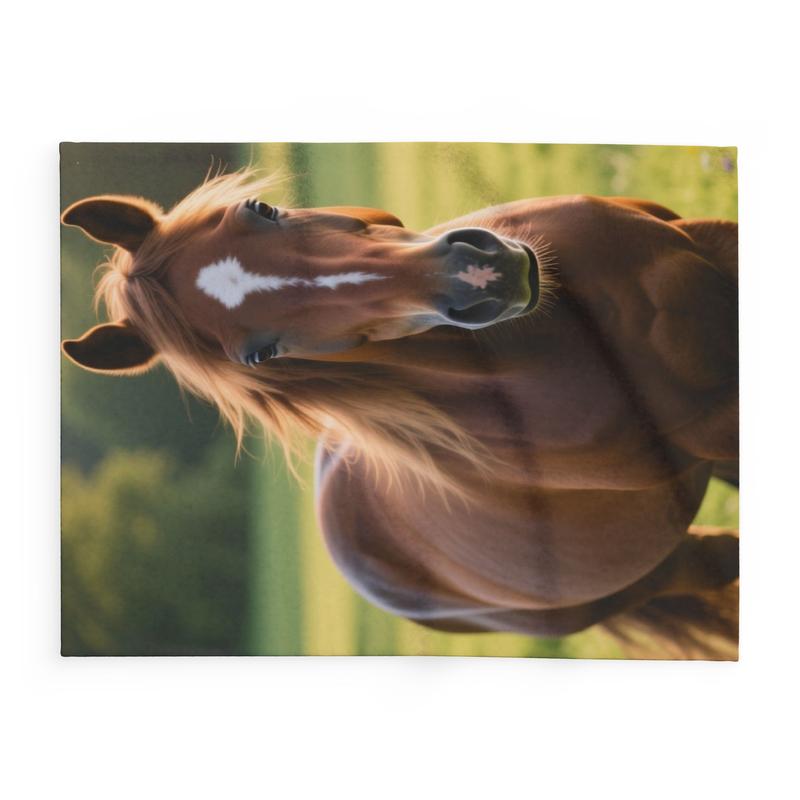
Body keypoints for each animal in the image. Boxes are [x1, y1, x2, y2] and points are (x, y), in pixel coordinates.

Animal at [61, 170, 739, 658]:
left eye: (261, 209)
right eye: (260, 353)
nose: (478, 275)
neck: (563, 324)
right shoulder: (717, 428)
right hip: (651, 572)